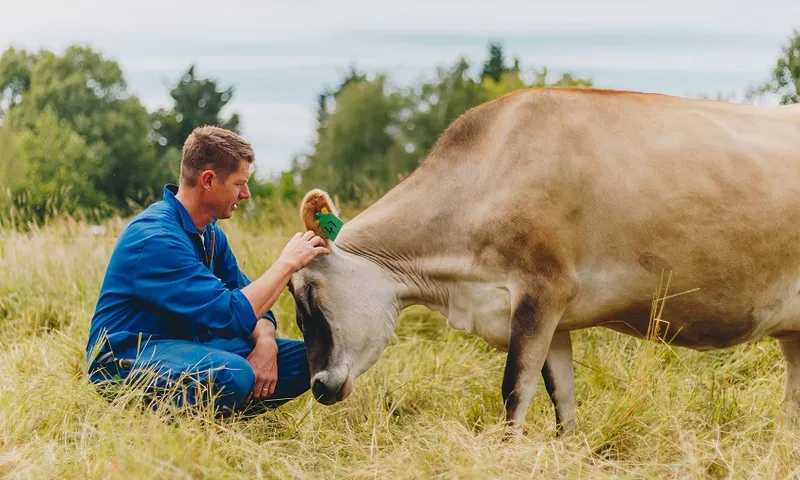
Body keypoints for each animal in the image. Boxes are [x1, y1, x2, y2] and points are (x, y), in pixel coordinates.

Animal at [287, 87, 800, 436]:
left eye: (308, 289)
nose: (318, 386)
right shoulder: (555, 317)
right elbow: (561, 393)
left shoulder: (542, 291)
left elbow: (515, 390)